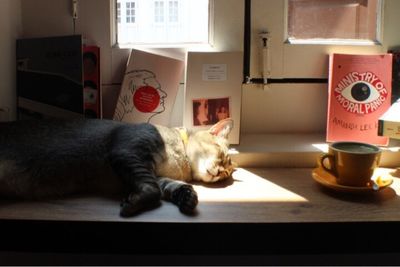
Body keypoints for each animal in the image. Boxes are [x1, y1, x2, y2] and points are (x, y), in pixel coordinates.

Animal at [0, 119, 234, 218]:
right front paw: (132, 204)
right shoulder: (127, 152)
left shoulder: (153, 174)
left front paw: (188, 197)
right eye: (222, 156)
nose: (219, 173)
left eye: (226, 174)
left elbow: (169, 187)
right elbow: (152, 190)